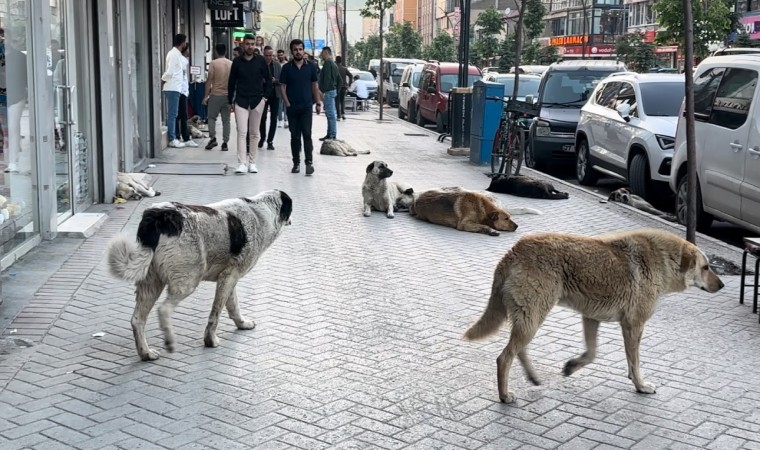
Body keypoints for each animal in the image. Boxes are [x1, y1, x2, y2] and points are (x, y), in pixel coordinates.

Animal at [107, 190, 294, 362]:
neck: (261, 212)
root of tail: (158, 216)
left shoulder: (228, 277)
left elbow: (233, 306)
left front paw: (242, 324)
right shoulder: (229, 276)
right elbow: (216, 313)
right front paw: (210, 341)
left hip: (151, 282)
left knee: (137, 320)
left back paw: (146, 353)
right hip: (188, 281)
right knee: (163, 310)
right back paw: (169, 341)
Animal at [464, 230, 724, 402]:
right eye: (705, 267)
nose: (722, 285)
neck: (663, 259)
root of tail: (514, 251)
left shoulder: (591, 318)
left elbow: (591, 354)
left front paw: (571, 366)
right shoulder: (634, 325)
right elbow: (634, 363)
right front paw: (640, 385)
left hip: (530, 318)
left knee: (518, 351)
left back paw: (532, 377)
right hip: (533, 317)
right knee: (504, 357)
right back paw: (504, 395)